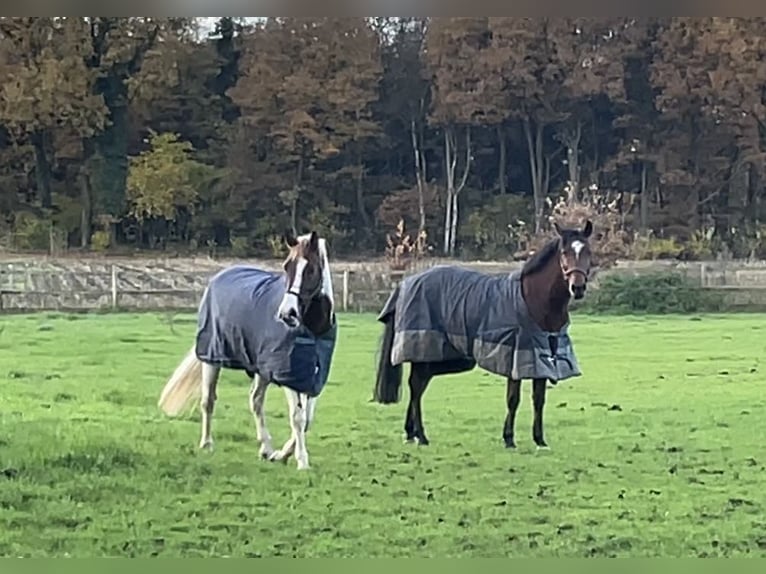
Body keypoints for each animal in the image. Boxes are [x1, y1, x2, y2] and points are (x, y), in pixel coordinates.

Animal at [156, 232, 336, 470]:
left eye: (311, 270)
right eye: (286, 266)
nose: (287, 313)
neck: (314, 329)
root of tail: (219, 276)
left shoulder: (312, 378)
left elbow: (307, 419)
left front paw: (282, 454)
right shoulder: (288, 375)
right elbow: (298, 417)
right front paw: (301, 462)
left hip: (261, 370)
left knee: (256, 401)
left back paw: (266, 449)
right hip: (212, 358)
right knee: (208, 400)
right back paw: (207, 444)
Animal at [372, 220, 592, 450]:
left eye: (588, 251)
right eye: (564, 252)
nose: (577, 287)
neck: (536, 300)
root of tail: (406, 283)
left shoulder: (542, 357)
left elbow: (538, 399)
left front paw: (540, 440)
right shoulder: (515, 356)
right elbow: (513, 399)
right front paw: (509, 439)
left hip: (435, 356)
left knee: (419, 385)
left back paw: (411, 433)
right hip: (423, 350)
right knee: (416, 387)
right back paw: (421, 436)